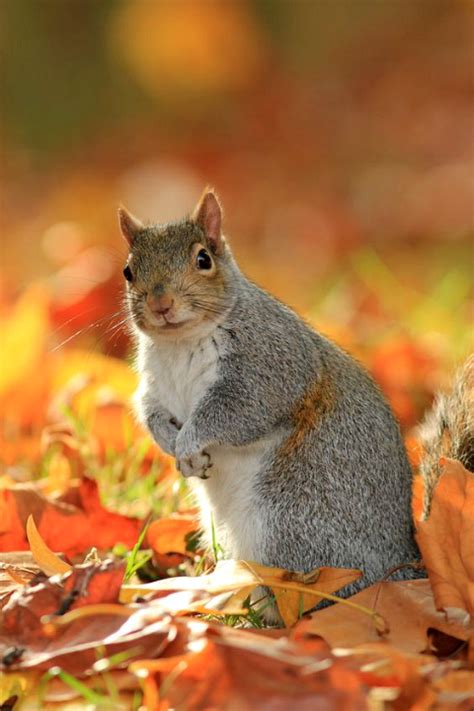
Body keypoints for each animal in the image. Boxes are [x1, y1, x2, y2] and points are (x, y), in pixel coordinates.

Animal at [117, 186, 470, 604]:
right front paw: (172, 444)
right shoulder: (156, 387)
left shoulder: (269, 367)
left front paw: (188, 443)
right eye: (128, 271)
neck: (180, 343)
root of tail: (401, 567)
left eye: (203, 259)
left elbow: (233, 411)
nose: (161, 304)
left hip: (290, 524)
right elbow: (150, 412)